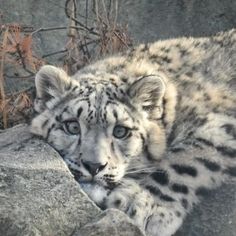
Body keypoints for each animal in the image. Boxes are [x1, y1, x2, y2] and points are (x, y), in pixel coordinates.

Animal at [31, 29, 236, 236]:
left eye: (120, 131)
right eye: (72, 126)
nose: (94, 166)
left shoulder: (222, 124)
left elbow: (185, 161)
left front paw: (140, 203)